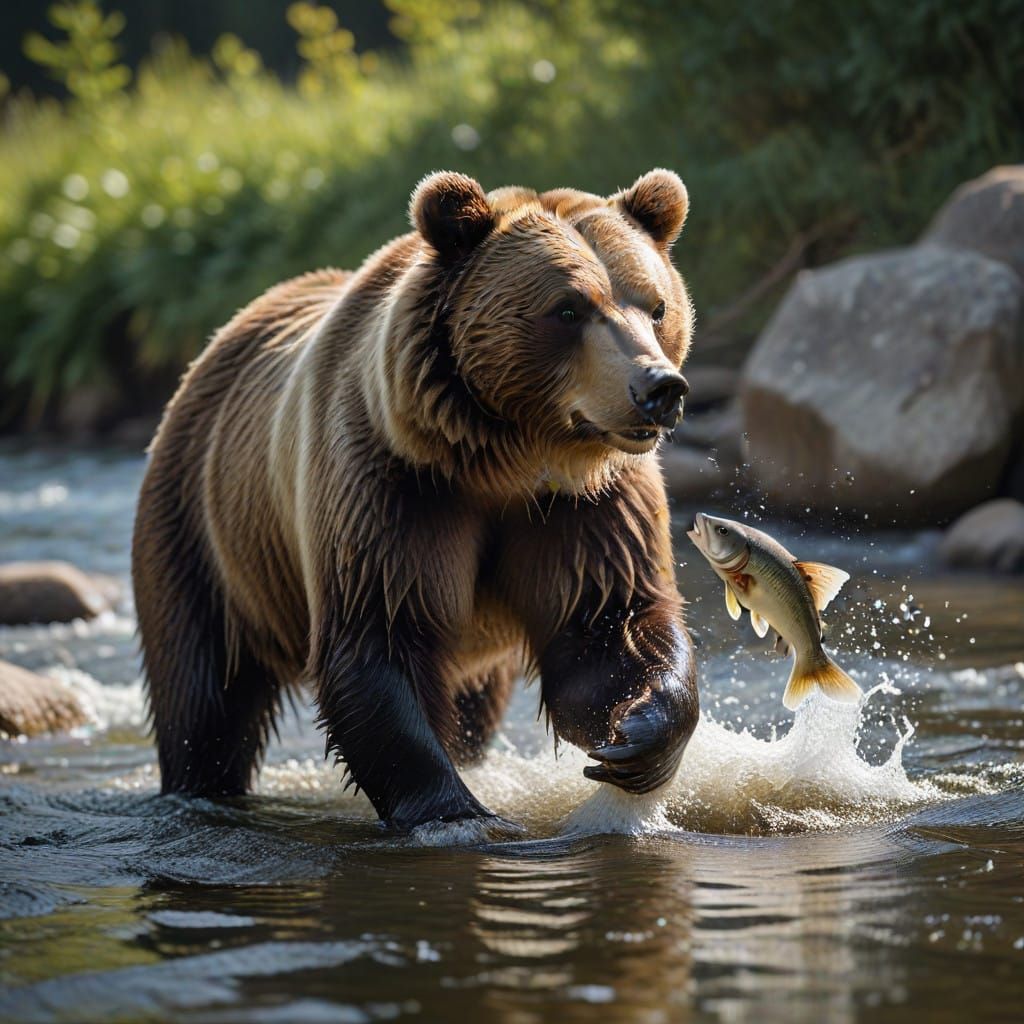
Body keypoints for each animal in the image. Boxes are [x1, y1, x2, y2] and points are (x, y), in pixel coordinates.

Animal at [132, 168, 699, 832]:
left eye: (657, 306)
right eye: (568, 308)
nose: (658, 388)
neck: (507, 461)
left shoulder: (584, 507)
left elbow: (606, 624)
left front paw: (638, 737)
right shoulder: (394, 487)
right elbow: (380, 634)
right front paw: (458, 813)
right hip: (204, 528)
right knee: (203, 693)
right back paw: (200, 784)